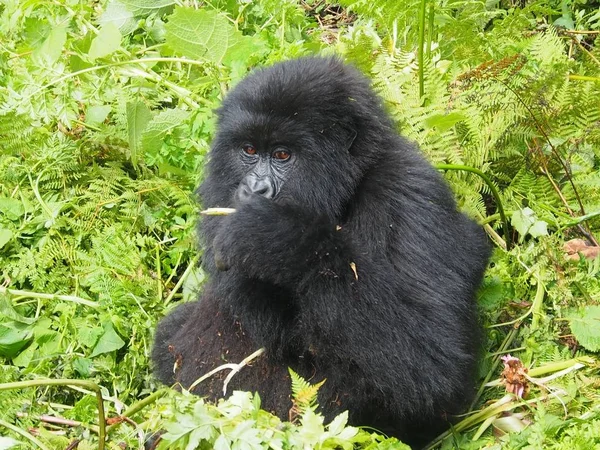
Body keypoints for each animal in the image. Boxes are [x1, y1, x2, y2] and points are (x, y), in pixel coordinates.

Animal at [151, 55, 492, 446]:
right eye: (248, 151)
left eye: (282, 155)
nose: (254, 188)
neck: (345, 193)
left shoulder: (410, 193)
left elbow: (435, 365)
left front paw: (275, 237)